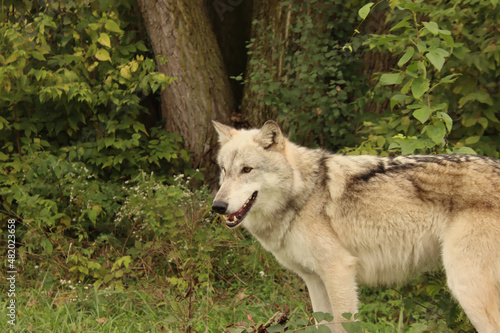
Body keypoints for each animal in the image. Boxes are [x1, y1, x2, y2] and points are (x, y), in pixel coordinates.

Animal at [211, 120, 500, 332]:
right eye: (224, 170)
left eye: (247, 170)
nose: (218, 206)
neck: (303, 194)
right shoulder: (314, 280)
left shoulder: (339, 271)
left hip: (465, 285)